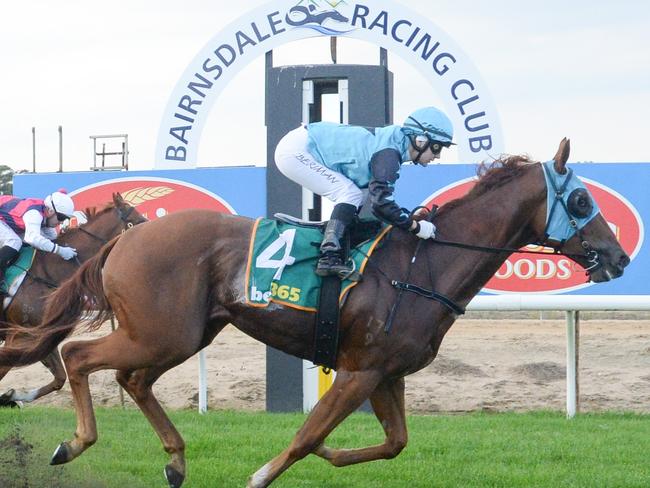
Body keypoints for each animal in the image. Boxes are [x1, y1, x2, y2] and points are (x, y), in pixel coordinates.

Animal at [0, 193, 146, 406]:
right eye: (135, 221)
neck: (48, 272)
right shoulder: (19, 336)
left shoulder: (38, 335)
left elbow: (59, 378)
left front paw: (11, 396)